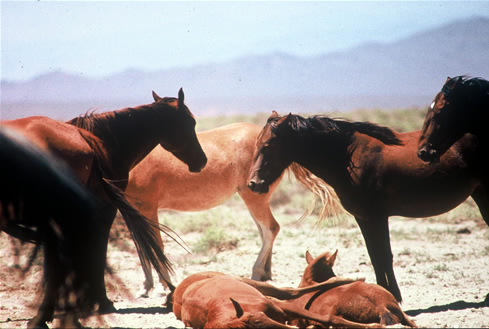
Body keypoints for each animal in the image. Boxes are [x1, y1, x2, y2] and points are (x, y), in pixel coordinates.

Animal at [125, 122, 344, 294]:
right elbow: (141, 247)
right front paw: (145, 287)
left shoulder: (148, 208)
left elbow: (155, 246)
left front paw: (162, 286)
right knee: (264, 231)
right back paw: (265, 274)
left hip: (254, 198)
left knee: (270, 229)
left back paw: (256, 273)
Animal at [168, 270, 382, 326]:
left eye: (259, 322)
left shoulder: (281, 308)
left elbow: (330, 317)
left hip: (254, 285)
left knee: (287, 292)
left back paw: (350, 278)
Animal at [250, 111, 486, 302]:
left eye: (267, 146)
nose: (253, 184)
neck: (348, 159)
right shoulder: (364, 218)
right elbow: (375, 257)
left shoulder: (377, 217)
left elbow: (384, 256)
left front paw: (394, 296)